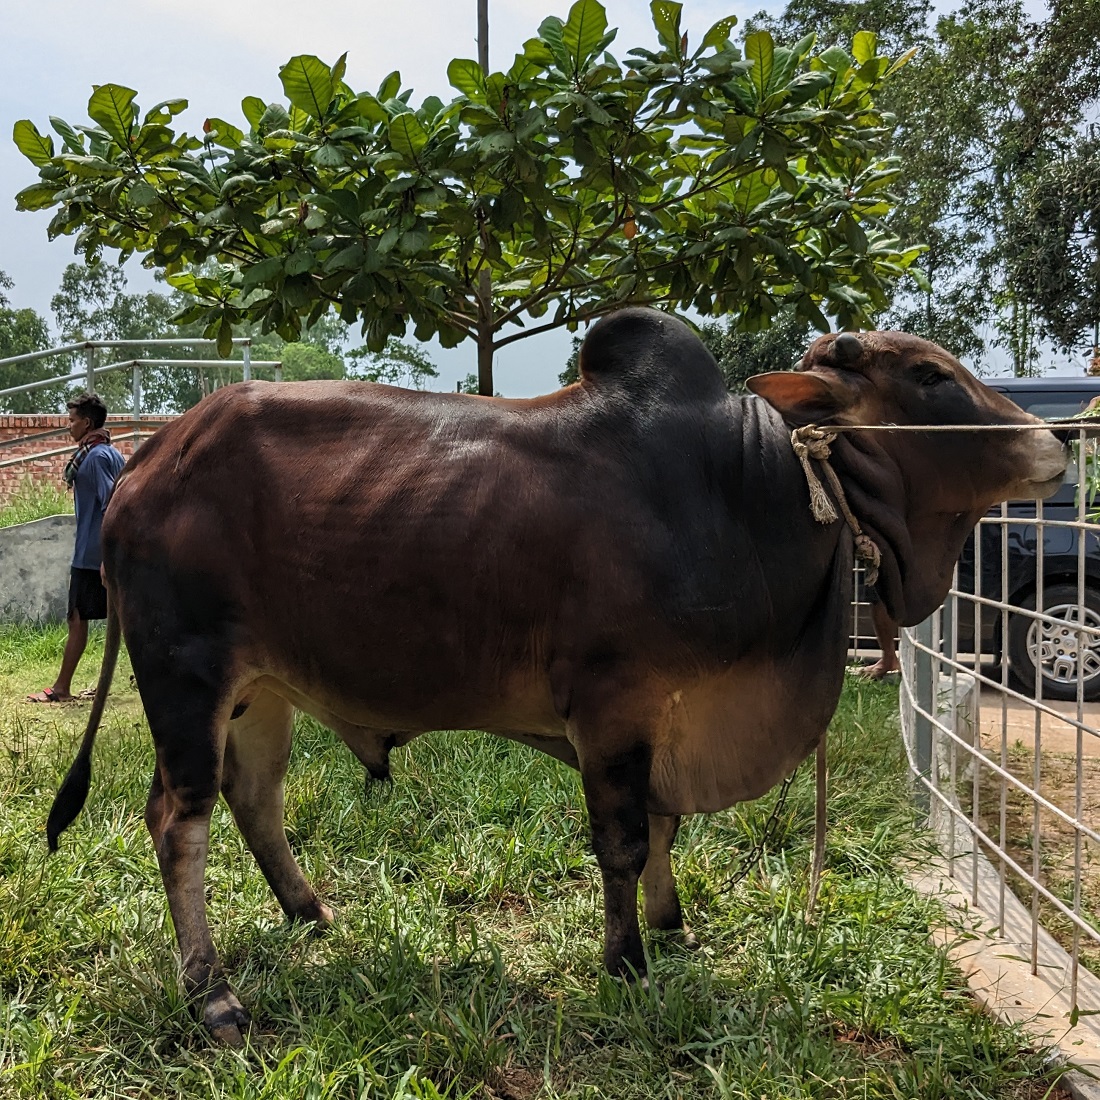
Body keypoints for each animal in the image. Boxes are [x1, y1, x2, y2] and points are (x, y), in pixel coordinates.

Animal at [47, 308, 1069, 1038]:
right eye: (930, 376)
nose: (1054, 445)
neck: (749, 485)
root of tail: (147, 460)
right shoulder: (614, 706)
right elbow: (624, 840)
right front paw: (627, 964)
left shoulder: (661, 715)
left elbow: (662, 828)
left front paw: (672, 924)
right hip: (186, 676)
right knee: (178, 822)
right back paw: (214, 997)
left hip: (260, 691)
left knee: (253, 797)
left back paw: (311, 913)